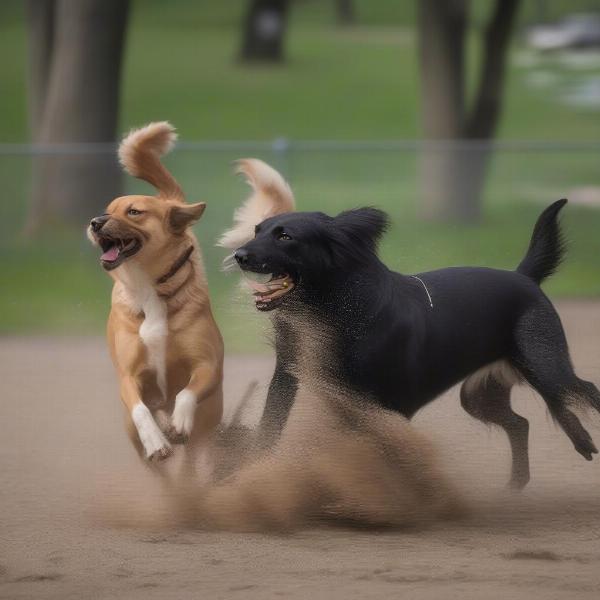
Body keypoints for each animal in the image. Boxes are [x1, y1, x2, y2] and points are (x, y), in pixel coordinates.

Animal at [86, 122, 223, 464]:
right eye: (106, 210)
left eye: (134, 212)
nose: (94, 223)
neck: (147, 287)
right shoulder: (128, 376)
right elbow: (140, 409)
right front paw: (156, 441)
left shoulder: (208, 365)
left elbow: (187, 391)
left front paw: (179, 421)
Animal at [225, 161, 600, 488]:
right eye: (257, 230)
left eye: (285, 237)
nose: (239, 255)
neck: (334, 310)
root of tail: (523, 276)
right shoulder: (292, 376)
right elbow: (272, 424)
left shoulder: (386, 403)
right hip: (480, 394)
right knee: (523, 422)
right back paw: (524, 480)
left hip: (545, 362)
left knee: (584, 390)